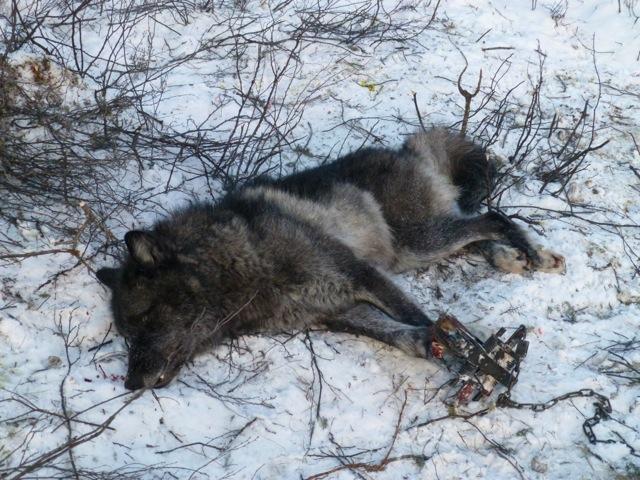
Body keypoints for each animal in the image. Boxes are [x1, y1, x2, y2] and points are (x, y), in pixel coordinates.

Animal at [97, 128, 565, 390]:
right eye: (126, 336)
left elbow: (420, 317)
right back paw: (516, 257)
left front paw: (473, 359)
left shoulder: (360, 275)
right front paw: (428, 344)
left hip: (417, 243)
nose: (131, 383)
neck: (242, 266)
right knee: (476, 230)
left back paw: (530, 253)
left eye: (146, 321)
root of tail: (405, 149)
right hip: (413, 250)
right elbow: (396, 332)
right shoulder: (338, 311)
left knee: (490, 218)